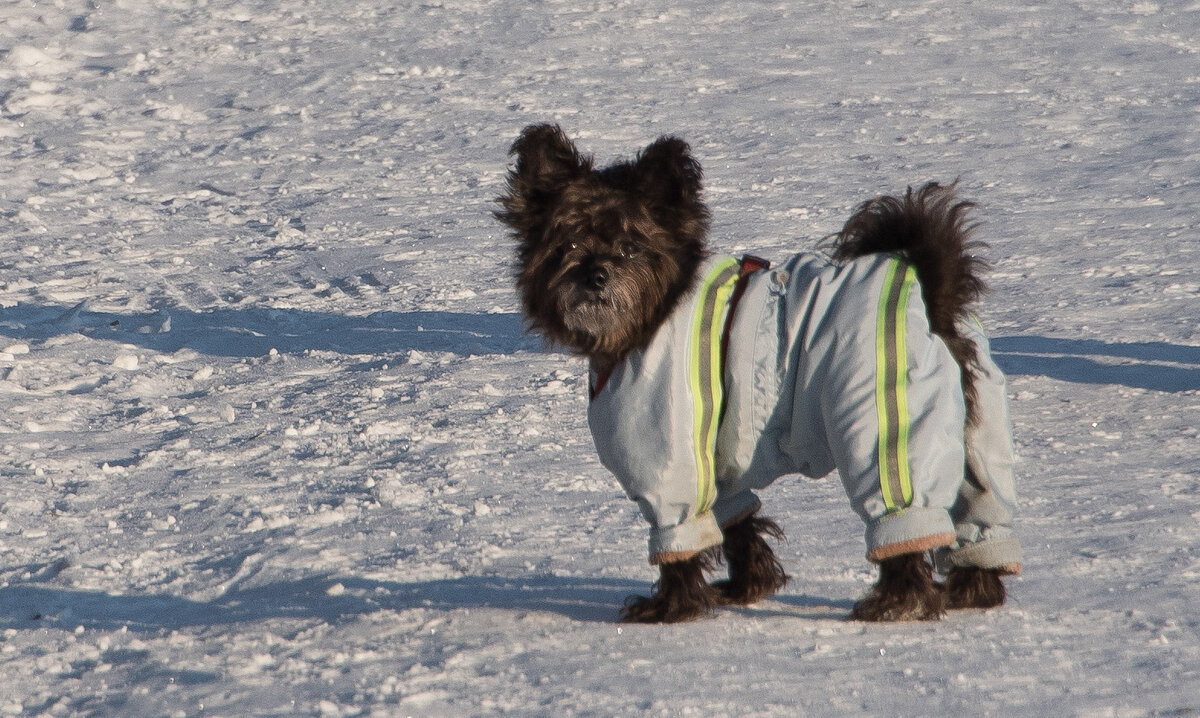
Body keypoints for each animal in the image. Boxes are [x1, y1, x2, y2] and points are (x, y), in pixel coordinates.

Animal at [494, 125, 1022, 624]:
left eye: (630, 245)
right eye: (569, 242)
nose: (594, 275)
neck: (656, 312)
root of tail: (928, 292)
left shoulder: (669, 460)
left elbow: (678, 540)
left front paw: (671, 607)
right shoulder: (715, 466)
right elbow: (737, 525)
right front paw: (748, 586)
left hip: (885, 428)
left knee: (905, 518)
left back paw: (899, 604)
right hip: (972, 440)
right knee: (979, 518)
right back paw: (971, 590)